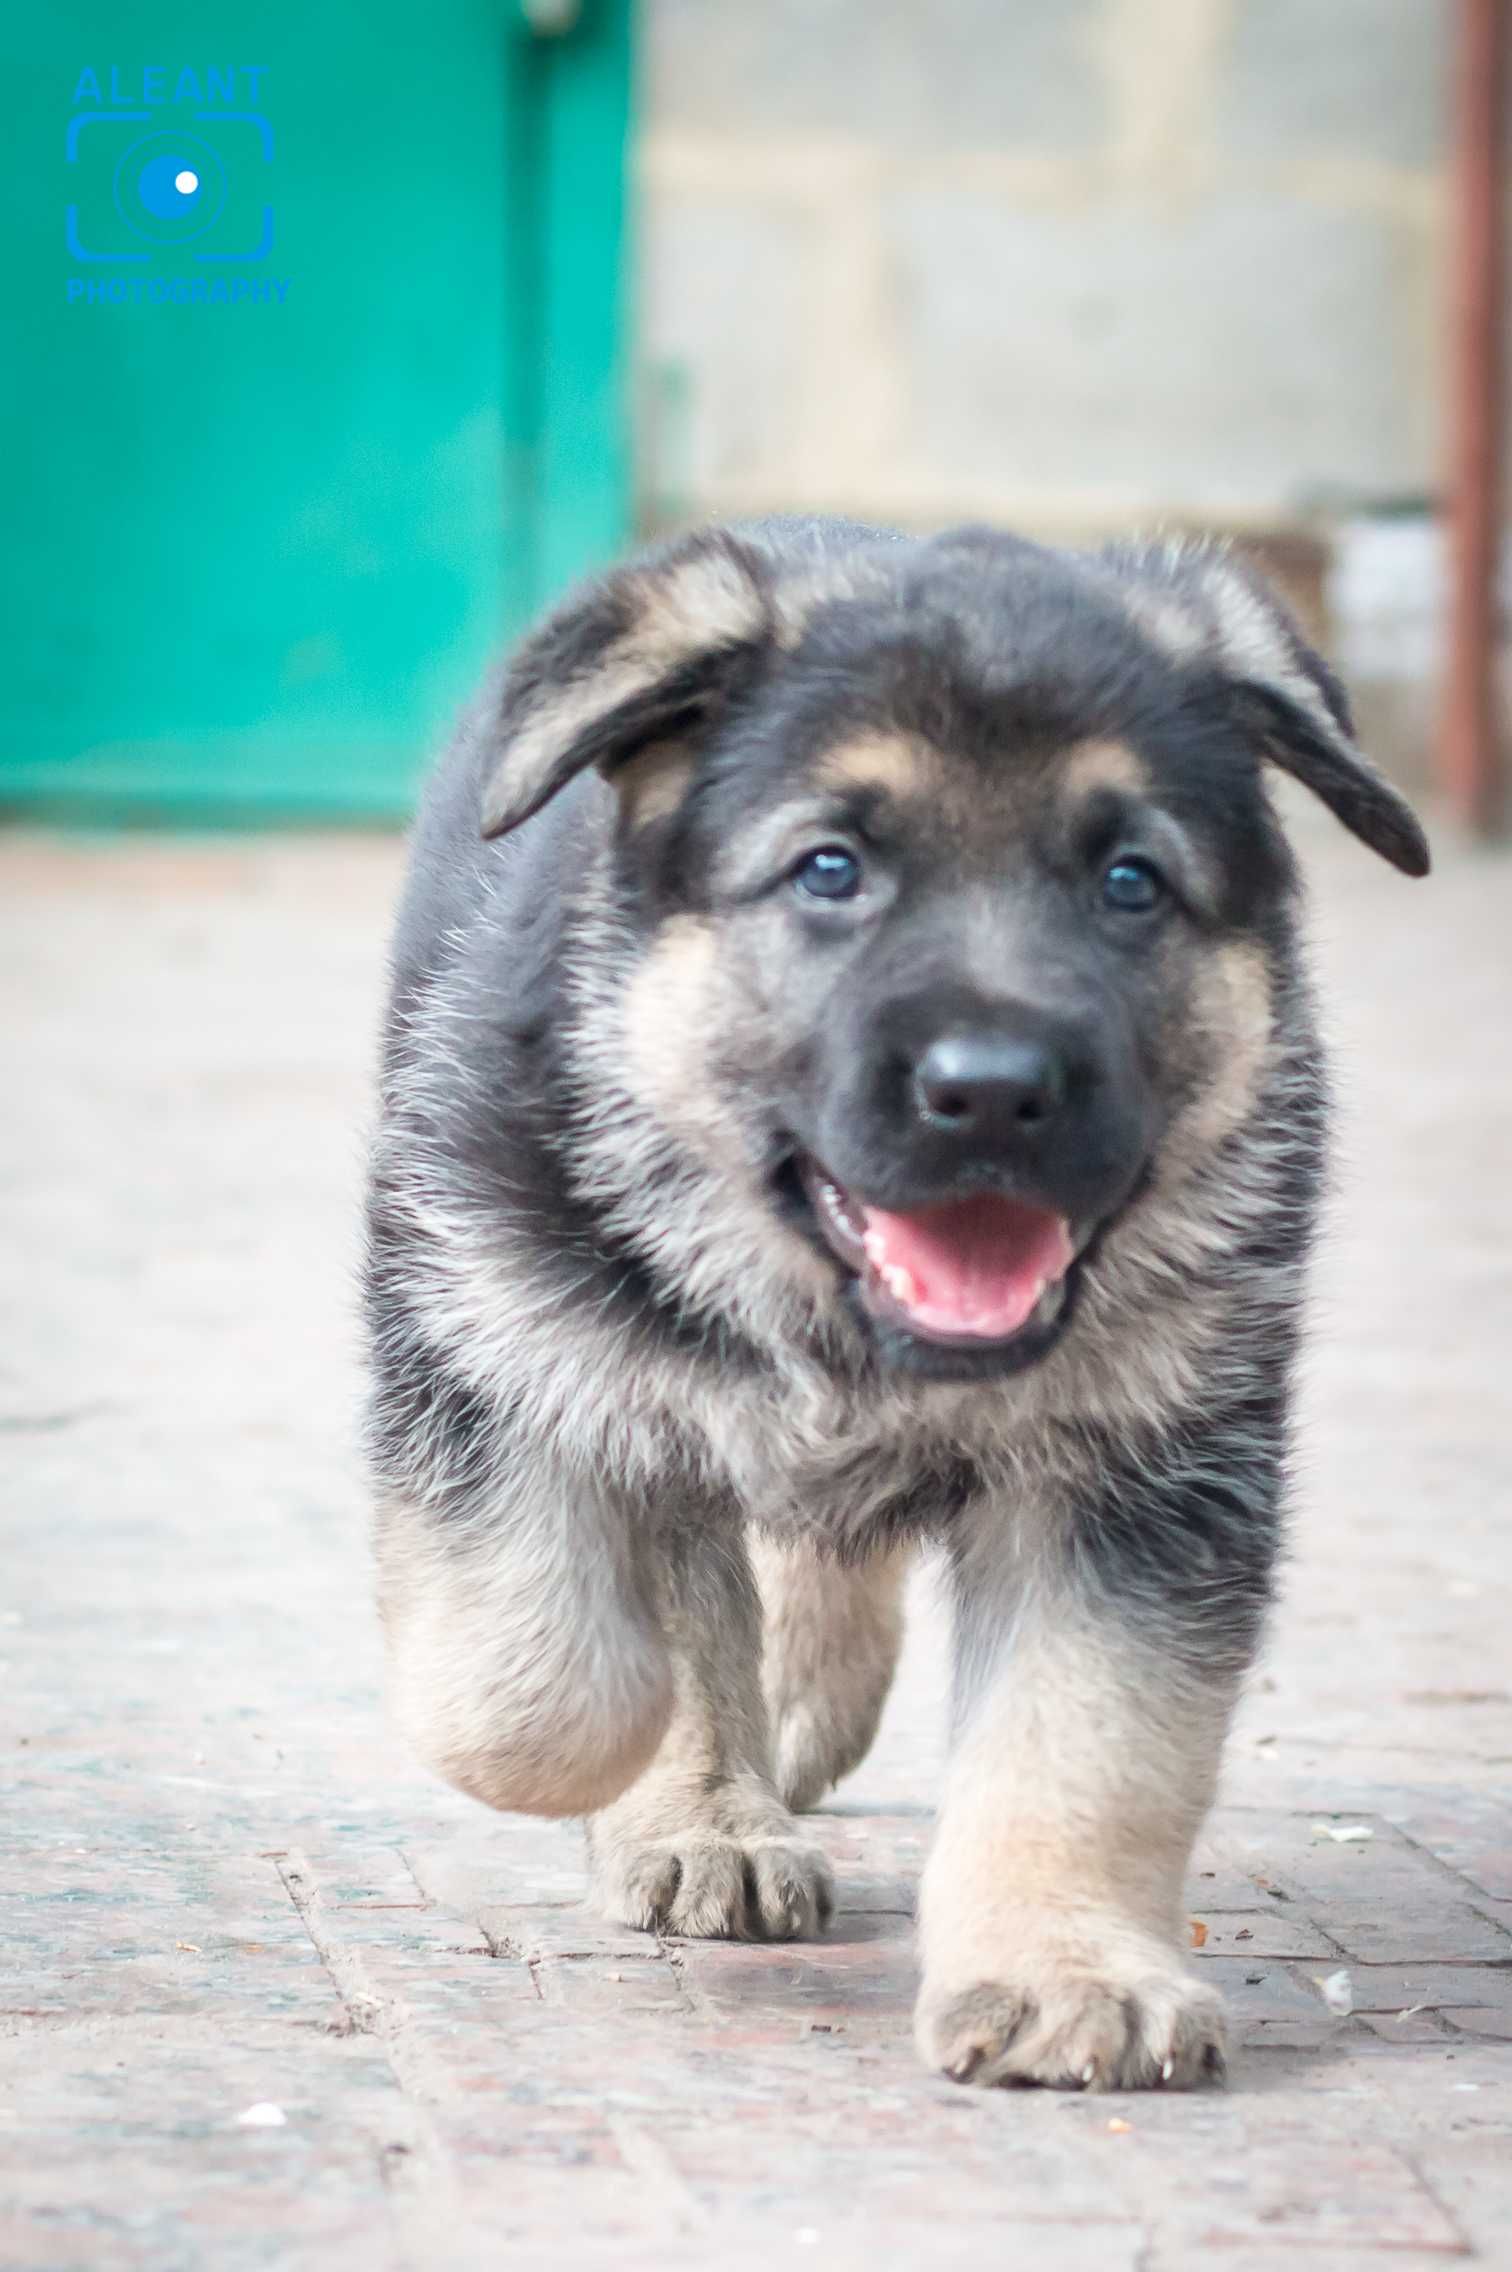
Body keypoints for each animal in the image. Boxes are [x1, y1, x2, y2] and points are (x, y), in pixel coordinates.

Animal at [366, 522, 1427, 2081]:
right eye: (830, 871)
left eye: (1131, 881)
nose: (991, 1091)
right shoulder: (481, 1317)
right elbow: (536, 1679)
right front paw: (660, 1758)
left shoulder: (1141, 1481)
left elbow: (1086, 1740)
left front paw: (1063, 1969)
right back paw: (712, 1803)